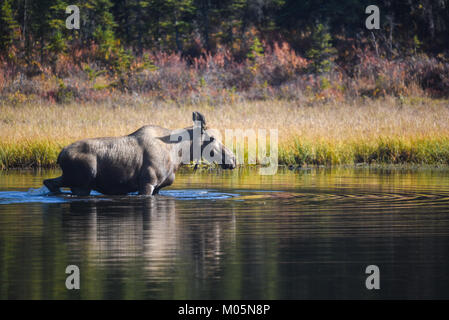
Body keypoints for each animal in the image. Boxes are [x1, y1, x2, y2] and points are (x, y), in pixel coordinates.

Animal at [43, 111, 236, 196]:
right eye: (212, 138)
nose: (233, 158)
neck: (178, 155)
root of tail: (60, 156)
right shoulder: (147, 183)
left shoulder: (158, 187)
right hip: (83, 179)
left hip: (76, 182)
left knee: (50, 182)